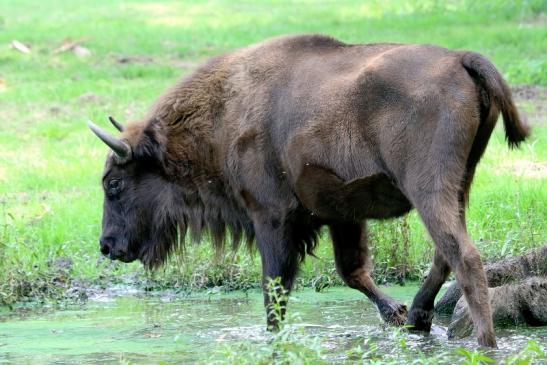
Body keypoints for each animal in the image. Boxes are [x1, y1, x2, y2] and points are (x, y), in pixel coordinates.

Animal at [90, 34, 532, 346]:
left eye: (114, 183)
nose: (107, 245)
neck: (225, 110)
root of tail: (460, 58)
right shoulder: (340, 215)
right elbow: (352, 271)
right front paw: (394, 312)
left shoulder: (271, 218)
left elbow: (275, 291)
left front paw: (274, 338)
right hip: (461, 183)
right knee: (446, 253)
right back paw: (418, 319)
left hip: (428, 188)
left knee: (464, 257)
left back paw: (484, 343)